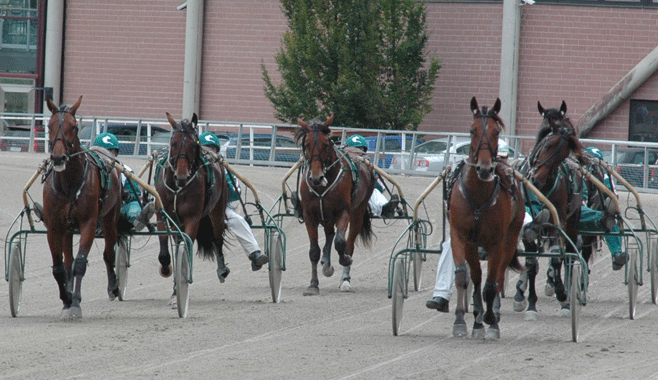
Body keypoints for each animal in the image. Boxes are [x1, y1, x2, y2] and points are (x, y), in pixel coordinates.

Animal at [42, 95, 123, 318]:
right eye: (49, 126)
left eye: (74, 127)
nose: (58, 157)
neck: (70, 185)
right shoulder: (55, 226)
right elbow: (59, 267)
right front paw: (66, 299)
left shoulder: (88, 222)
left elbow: (80, 263)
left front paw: (76, 303)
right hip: (69, 229)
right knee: (68, 261)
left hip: (110, 219)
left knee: (108, 253)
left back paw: (113, 287)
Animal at [294, 114, 372, 296]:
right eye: (306, 145)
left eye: (326, 144)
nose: (316, 178)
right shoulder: (310, 215)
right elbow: (314, 251)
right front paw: (313, 285)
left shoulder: (343, 212)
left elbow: (341, 243)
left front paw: (345, 261)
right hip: (326, 216)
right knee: (329, 234)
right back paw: (327, 263)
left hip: (357, 213)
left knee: (348, 243)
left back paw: (345, 279)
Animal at [446, 96, 524, 340]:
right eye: (472, 130)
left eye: (496, 132)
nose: (485, 168)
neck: (478, 195)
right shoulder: (461, 236)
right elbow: (465, 276)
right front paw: (462, 321)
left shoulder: (496, 242)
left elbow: (491, 283)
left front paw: (491, 320)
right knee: (479, 276)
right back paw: (478, 318)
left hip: (510, 238)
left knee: (497, 278)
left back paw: (493, 315)